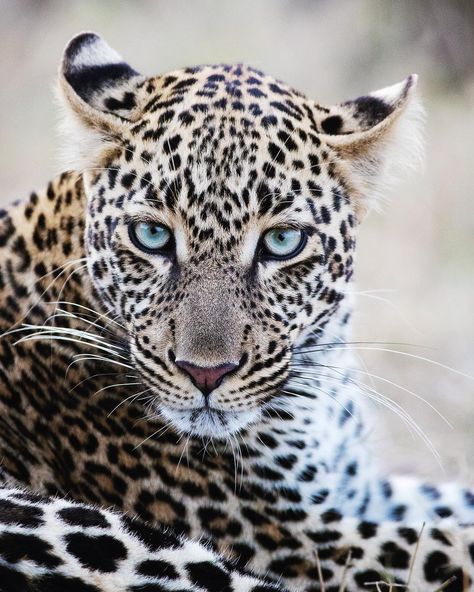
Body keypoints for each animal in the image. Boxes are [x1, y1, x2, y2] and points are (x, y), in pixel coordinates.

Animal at [0, 33, 474, 592]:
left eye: (283, 241)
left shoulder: (353, 489)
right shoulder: (305, 541)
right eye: (152, 235)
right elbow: (453, 543)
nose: (205, 374)